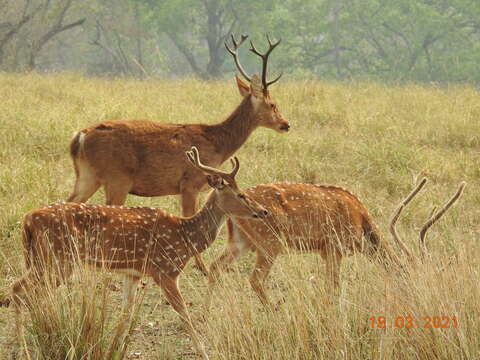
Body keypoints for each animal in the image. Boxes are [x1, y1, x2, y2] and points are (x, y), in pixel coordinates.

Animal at [9, 146, 268, 360]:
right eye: (241, 194)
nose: (263, 211)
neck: (186, 237)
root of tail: (27, 219)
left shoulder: (133, 273)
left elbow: (126, 314)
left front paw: (114, 350)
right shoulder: (165, 270)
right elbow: (184, 313)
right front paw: (204, 352)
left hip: (43, 259)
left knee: (24, 291)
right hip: (57, 259)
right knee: (19, 290)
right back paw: (23, 349)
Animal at [65, 34, 286, 276]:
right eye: (273, 104)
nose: (286, 124)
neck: (217, 141)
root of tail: (80, 137)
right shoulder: (190, 183)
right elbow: (189, 218)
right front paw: (201, 267)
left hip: (87, 176)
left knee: (69, 202)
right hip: (117, 179)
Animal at [205, 179, 464, 308]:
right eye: (414, 280)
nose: (421, 301)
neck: (362, 225)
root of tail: (228, 212)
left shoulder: (325, 251)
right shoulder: (333, 247)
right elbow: (334, 286)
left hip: (240, 240)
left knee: (215, 267)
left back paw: (208, 312)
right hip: (270, 243)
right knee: (255, 279)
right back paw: (274, 309)